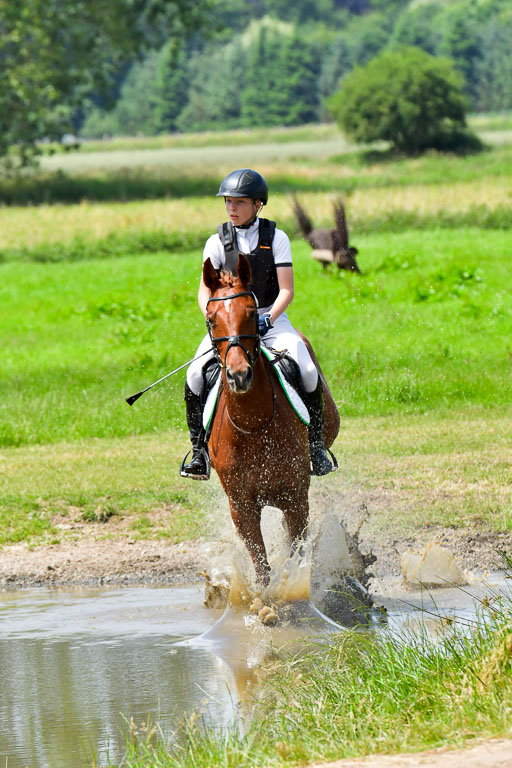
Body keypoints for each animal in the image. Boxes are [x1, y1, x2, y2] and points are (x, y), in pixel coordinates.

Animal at [203, 253, 340, 587]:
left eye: (252, 313)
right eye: (211, 319)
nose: (239, 375)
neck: (254, 425)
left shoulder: (295, 497)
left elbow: (295, 557)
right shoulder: (241, 506)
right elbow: (262, 567)